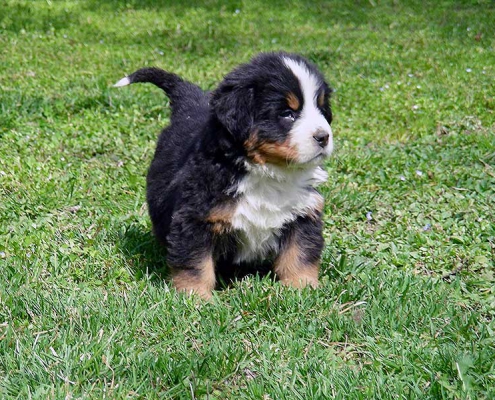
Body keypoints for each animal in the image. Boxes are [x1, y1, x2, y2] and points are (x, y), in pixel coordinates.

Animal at [114, 51, 336, 298]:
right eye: (287, 113)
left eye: (321, 109)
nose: (323, 137)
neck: (268, 173)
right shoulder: (195, 218)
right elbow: (195, 262)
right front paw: (195, 297)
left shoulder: (303, 213)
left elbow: (300, 254)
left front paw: (303, 289)